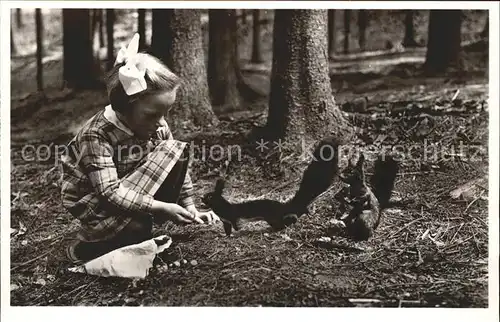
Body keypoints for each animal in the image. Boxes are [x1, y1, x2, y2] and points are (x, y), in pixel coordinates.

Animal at [201, 136, 342, 236]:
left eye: (209, 197)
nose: (201, 198)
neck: (222, 208)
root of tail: (285, 206)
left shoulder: (233, 217)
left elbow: (237, 226)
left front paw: (237, 232)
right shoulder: (226, 221)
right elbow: (227, 230)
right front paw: (226, 236)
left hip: (274, 217)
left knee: (287, 219)